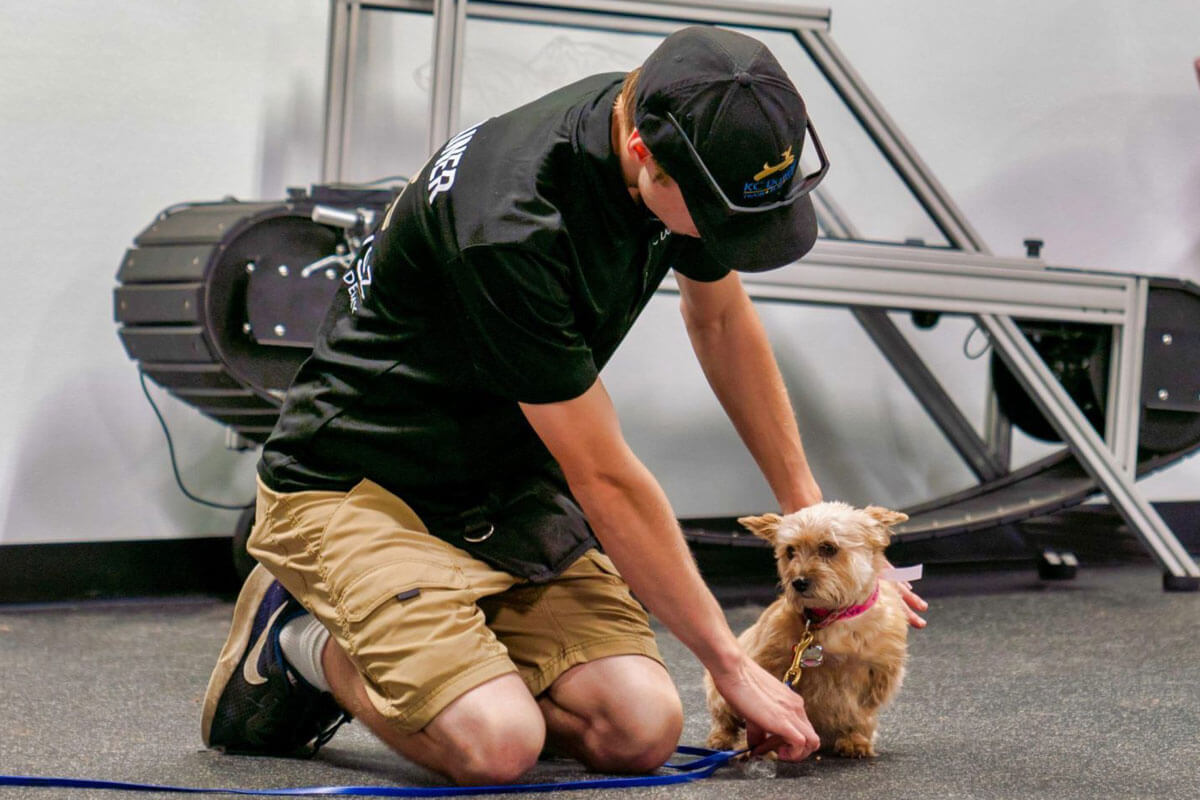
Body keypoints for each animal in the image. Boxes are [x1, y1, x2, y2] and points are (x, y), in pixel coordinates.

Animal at [700, 503, 907, 762]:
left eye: (828, 548)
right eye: (790, 550)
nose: (798, 582)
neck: (830, 617)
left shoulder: (878, 673)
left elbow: (861, 713)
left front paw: (855, 739)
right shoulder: (767, 667)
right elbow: (761, 712)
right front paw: (748, 746)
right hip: (719, 690)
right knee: (724, 719)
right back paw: (722, 740)